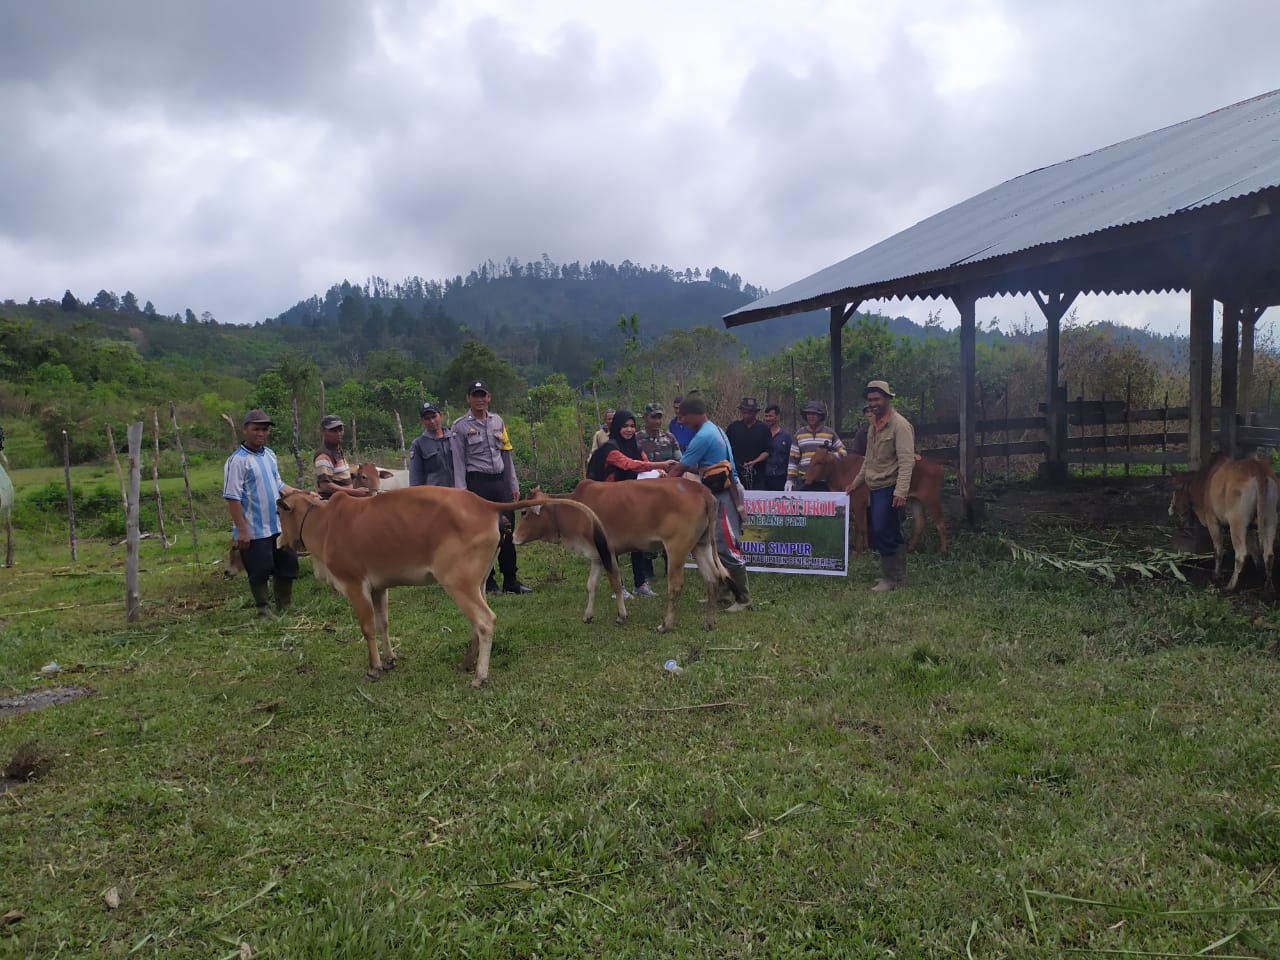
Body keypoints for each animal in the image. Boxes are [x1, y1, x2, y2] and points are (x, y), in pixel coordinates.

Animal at [279, 488, 614, 686]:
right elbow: (383, 623)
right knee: (477, 624)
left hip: (457, 583)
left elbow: (368, 627)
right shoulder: (378, 587)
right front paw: (389, 660)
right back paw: (467, 663)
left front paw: (373, 668)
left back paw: (479, 675)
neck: (325, 522)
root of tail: (483, 503)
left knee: (485, 621)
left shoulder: (354, 584)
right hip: (476, 582)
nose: (281, 540)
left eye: (281, 510)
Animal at [514, 478, 747, 632]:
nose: (514, 536)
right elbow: (591, 585)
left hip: (677, 548)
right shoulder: (596, 556)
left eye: (524, 512)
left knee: (676, 586)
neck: (573, 508)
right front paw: (588, 615)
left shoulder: (607, 551)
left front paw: (621, 616)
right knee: (712, 579)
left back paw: (666, 625)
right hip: (701, 545)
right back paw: (709, 621)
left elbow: (616, 584)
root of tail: (701, 490)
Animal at [803, 445, 947, 552]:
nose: (805, 479)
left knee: (941, 523)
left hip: (932, 499)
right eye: (811, 460)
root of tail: (934, 461)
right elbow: (863, 527)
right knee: (920, 523)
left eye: (819, 462)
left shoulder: (859, 503)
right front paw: (864, 548)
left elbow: (860, 527)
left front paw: (859, 550)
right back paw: (910, 548)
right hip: (915, 500)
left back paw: (943, 552)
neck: (842, 470)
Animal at [1172, 455, 1274, 599]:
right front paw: (1258, 570)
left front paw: (1216, 574)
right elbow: (1254, 550)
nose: (1173, 508)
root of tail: (1257, 468)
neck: (1205, 482)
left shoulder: (1213, 522)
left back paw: (1230, 585)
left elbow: (1218, 550)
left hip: (1236, 524)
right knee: (1269, 554)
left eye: (1176, 488)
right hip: (1270, 520)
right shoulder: (1249, 528)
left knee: (1241, 554)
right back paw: (1268, 586)